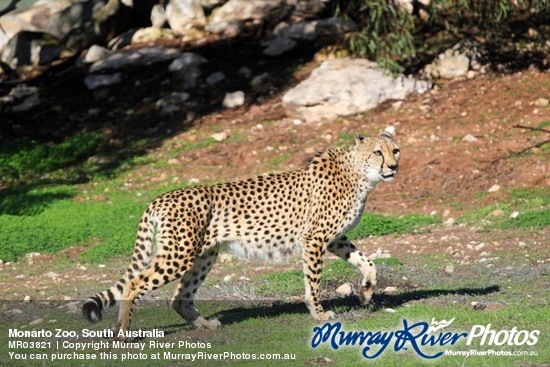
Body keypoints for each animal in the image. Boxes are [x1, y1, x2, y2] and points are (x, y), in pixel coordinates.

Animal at [82, 134, 402, 338]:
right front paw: (320, 315)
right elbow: (313, 283)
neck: (359, 174)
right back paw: (124, 332)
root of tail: (161, 197)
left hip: (203, 254)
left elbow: (368, 262)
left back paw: (204, 325)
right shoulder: (314, 238)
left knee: (179, 296)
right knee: (134, 283)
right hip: (179, 254)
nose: (393, 166)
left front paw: (366, 293)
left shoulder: (334, 238)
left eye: (395, 150)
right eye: (378, 152)